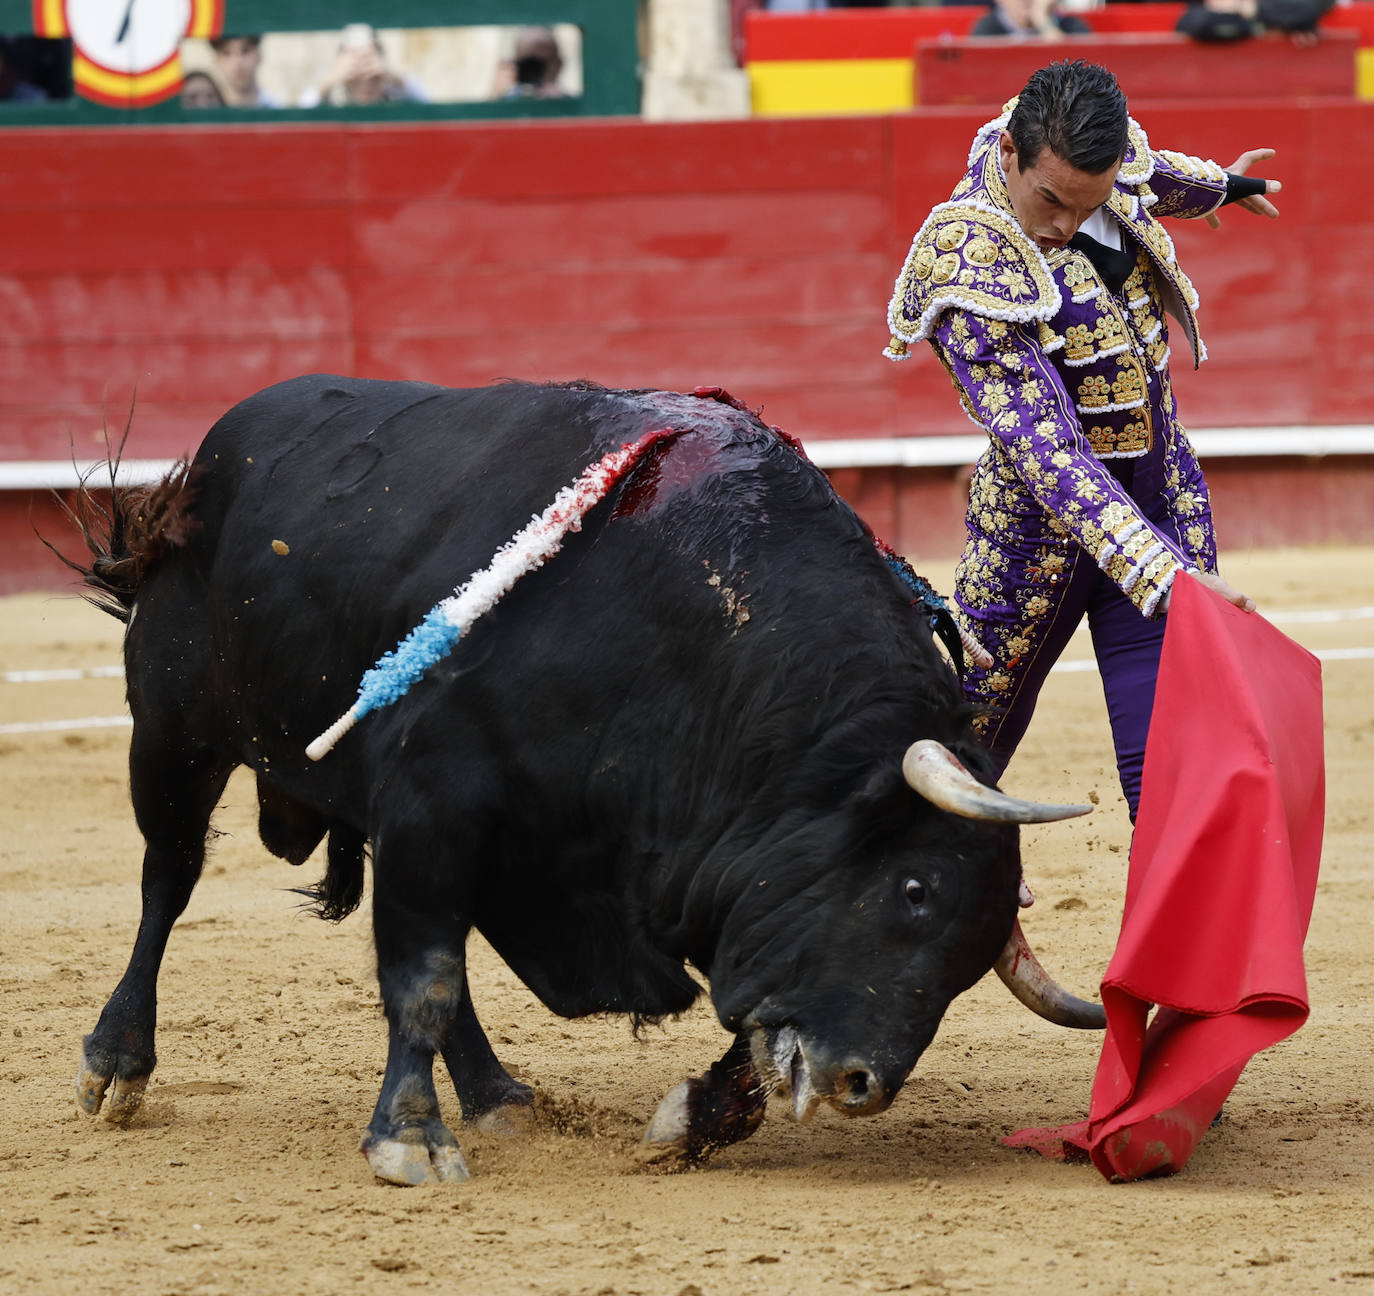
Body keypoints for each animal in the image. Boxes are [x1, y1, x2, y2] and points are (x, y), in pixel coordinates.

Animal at [64, 373, 1099, 1187]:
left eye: (969, 962)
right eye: (916, 889)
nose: (861, 1085)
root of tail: (214, 455)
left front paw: (686, 1122)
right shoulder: (433, 805)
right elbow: (424, 977)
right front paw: (410, 1141)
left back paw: (497, 1096)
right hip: (174, 735)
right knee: (169, 879)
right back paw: (117, 1063)